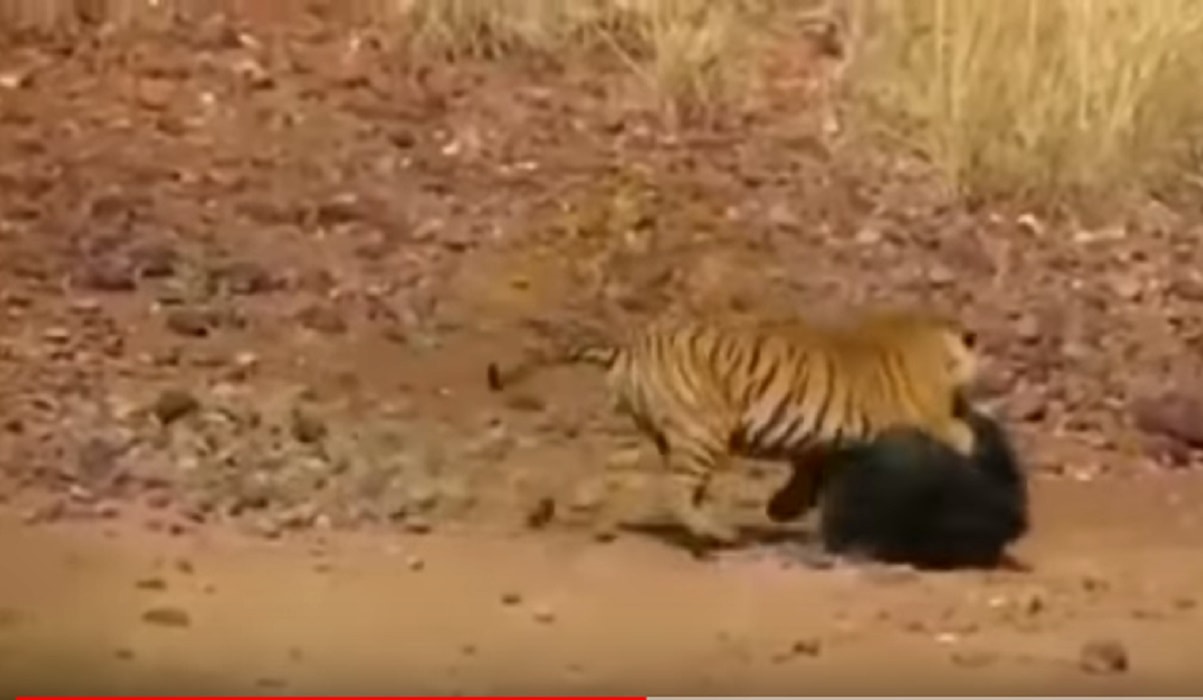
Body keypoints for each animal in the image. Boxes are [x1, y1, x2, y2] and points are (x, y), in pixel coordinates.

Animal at [485, 308, 981, 551]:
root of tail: (627, 348)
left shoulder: (822, 446)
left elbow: (807, 471)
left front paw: (782, 508)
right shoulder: (926, 414)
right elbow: (956, 433)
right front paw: (972, 441)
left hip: (669, 433)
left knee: (654, 479)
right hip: (704, 430)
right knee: (675, 490)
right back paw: (718, 535)